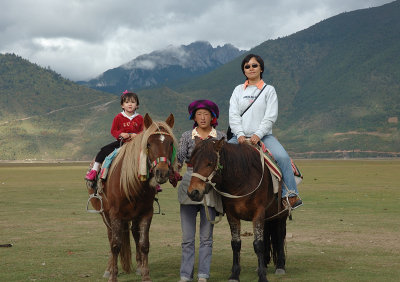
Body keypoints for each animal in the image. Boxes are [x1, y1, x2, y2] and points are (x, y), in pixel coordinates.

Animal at [88, 113, 177, 280]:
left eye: (170, 143)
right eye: (148, 144)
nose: (162, 173)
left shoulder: (146, 213)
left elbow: (144, 244)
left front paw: (146, 276)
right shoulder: (115, 214)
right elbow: (115, 245)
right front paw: (113, 277)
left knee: (135, 234)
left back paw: (139, 266)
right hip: (105, 214)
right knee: (111, 237)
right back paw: (109, 269)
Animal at [188, 139, 288, 282]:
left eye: (209, 163)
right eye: (192, 162)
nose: (193, 192)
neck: (242, 180)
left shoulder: (258, 213)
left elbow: (258, 244)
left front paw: (262, 276)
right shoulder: (232, 215)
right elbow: (236, 244)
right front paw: (235, 275)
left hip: (281, 215)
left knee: (280, 235)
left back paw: (280, 266)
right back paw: (263, 265)